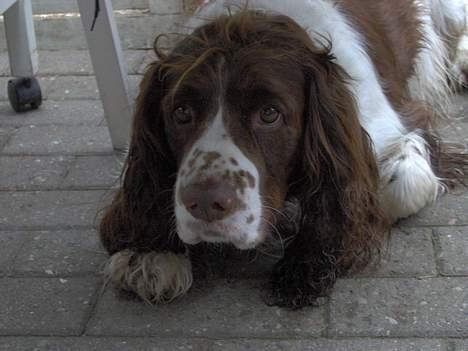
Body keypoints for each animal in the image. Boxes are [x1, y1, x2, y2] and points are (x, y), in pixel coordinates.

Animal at [99, 0, 468, 308]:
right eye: (181, 112)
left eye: (270, 113)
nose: (203, 203)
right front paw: (153, 254)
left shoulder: (396, 125)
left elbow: (396, 191)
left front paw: (305, 259)